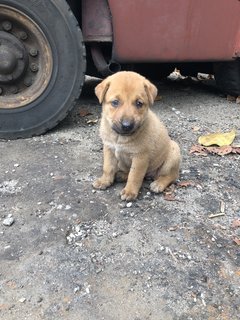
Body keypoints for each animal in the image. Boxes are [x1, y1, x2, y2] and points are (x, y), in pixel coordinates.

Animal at [93, 72, 181, 200]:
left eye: (139, 103)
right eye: (115, 102)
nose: (127, 125)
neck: (119, 138)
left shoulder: (140, 157)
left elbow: (134, 176)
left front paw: (130, 191)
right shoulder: (109, 149)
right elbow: (108, 167)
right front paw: (104, 181)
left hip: (173, 152)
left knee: (171, 176)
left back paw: (159, 184)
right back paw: (121, 175)